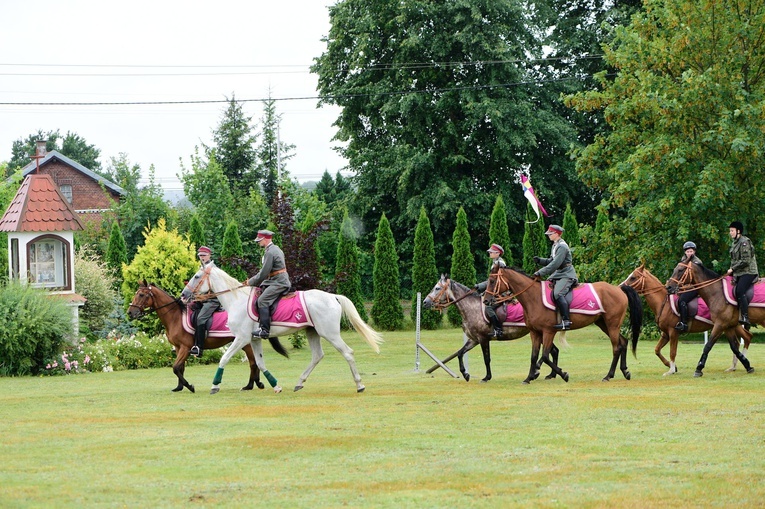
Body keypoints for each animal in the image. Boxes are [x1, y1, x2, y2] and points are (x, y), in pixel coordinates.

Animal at [128, 280, 290, 390]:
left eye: (141, 294)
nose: (130, 312)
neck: (175, 317)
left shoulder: (185, 348)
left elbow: (175, 367)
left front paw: (189, 386)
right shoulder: (179, 348)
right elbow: (180, 368)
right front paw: (179, 387)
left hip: (246, 343)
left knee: (253, 363)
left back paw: (252, 385)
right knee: (253, 363)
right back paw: (253, 384)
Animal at [189, 264, 384, 394]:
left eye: (197, 276)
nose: (184, 294)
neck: (237, 300)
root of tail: (333, 297)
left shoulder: (242, 338)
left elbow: (224, 358)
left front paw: (215, 385)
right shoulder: (254, 339)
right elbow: (260, 363)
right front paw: (276, 385)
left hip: (330, 334)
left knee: (348, 353)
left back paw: (359, 385)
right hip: (312, 332)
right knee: (317, 356)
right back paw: (299, 382)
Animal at [420, 276, 560, 382]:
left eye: (437, 288)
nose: (425, 302)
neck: (472, 307)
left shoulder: (483, 339)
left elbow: (486, 359)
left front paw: (487, 377)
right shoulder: (474, 340)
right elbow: (460, 353)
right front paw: (466, 374)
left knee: (551, 351)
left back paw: (540, 373)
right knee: (554, 351)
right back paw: (551, 374)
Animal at [486, 266, 640, 380]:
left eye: (492, 281)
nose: (486, 301)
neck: (534, 298)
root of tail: (618, 289)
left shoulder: (548, 331)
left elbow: (545, 356)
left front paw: (563, 374)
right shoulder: (535, 332)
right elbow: (534, 356)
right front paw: (529, 377)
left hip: (612, 325)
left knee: (616, 348)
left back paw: (608, 375)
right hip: (604, 324)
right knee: (623, 342)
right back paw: (624, 371)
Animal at [616, 264, 748, 376]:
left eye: (633, 277)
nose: (620, 287)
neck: (664, 303)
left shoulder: (673, 333)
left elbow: (672, 352)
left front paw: (671, 370)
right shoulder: (665, 334)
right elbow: (657, 350)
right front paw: (671, 366)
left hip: (727, 325)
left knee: (744, 339)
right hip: (729, 326)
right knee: (742, 340)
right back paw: (734, 366)